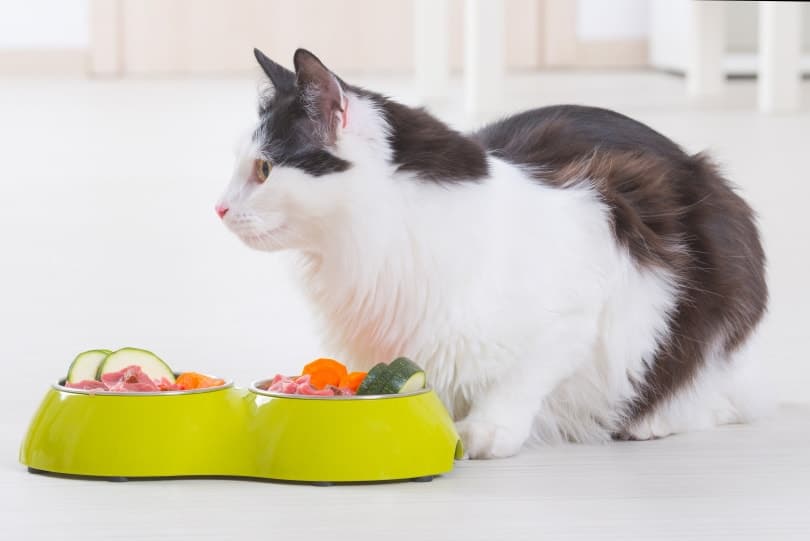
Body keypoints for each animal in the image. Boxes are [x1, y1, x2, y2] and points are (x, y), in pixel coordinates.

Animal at [215, 48, 764, 458]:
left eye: (264, 169)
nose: (217, 208)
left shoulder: (587, 288)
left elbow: (521, 378)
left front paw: (485, 431)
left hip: (718, 278)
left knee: (712, 389)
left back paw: (655, 421)